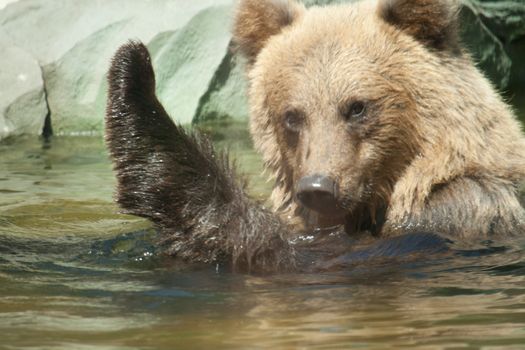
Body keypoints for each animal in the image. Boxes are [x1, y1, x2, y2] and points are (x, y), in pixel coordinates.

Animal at [104, 0, 524, 274]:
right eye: (292, 116)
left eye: (357, 106)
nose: (318, 188)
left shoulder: (457, 213)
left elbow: (293, 255)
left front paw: (136, 85)